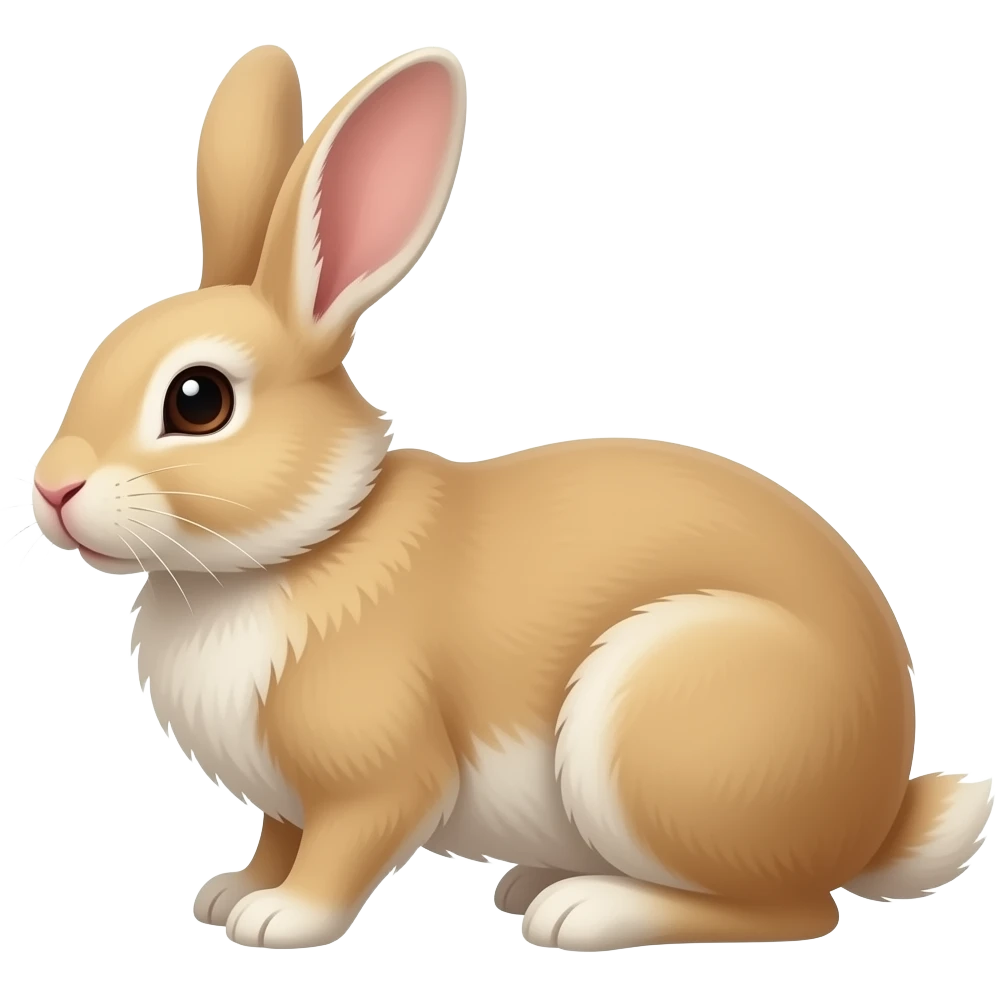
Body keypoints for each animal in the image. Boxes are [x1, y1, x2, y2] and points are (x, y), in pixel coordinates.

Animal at [30, 44, 992, 952]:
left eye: (198, 401)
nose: (53, 487)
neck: (304, 543)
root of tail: (876, 815)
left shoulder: (377, 774)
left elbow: (342, 849)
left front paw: (280, 920)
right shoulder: (283, 799)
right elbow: (277, 836)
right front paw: (229, 893)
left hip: (658, 721)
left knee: (793, 909)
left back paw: (585, 911)